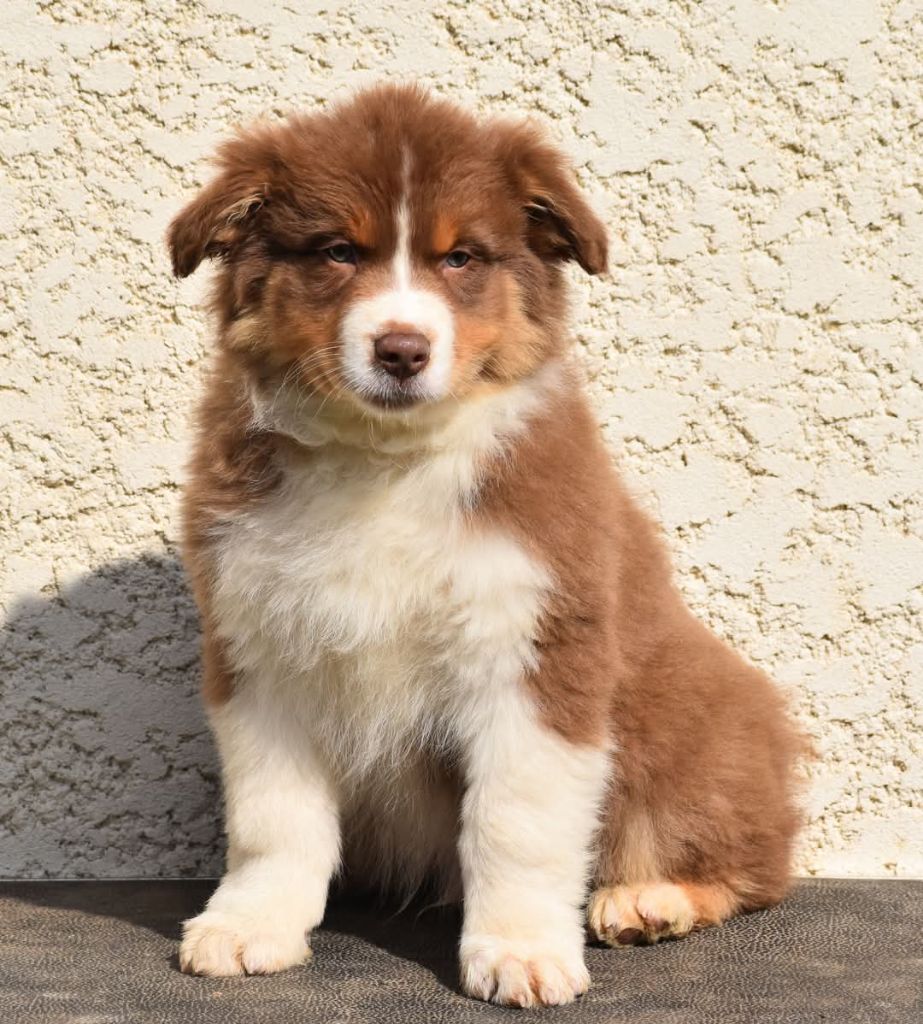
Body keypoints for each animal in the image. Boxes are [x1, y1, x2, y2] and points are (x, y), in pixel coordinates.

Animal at [167, 83, 805, 1007]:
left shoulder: (535, 651)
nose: (401, 349)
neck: (386, 460)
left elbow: (516, 823)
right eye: (337, 252)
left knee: (752, 862)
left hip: (687, 720)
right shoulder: (260, 648)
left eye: (461, 258)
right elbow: (272, 819)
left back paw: (650, 898)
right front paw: (251, 925)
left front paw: (520, 952)